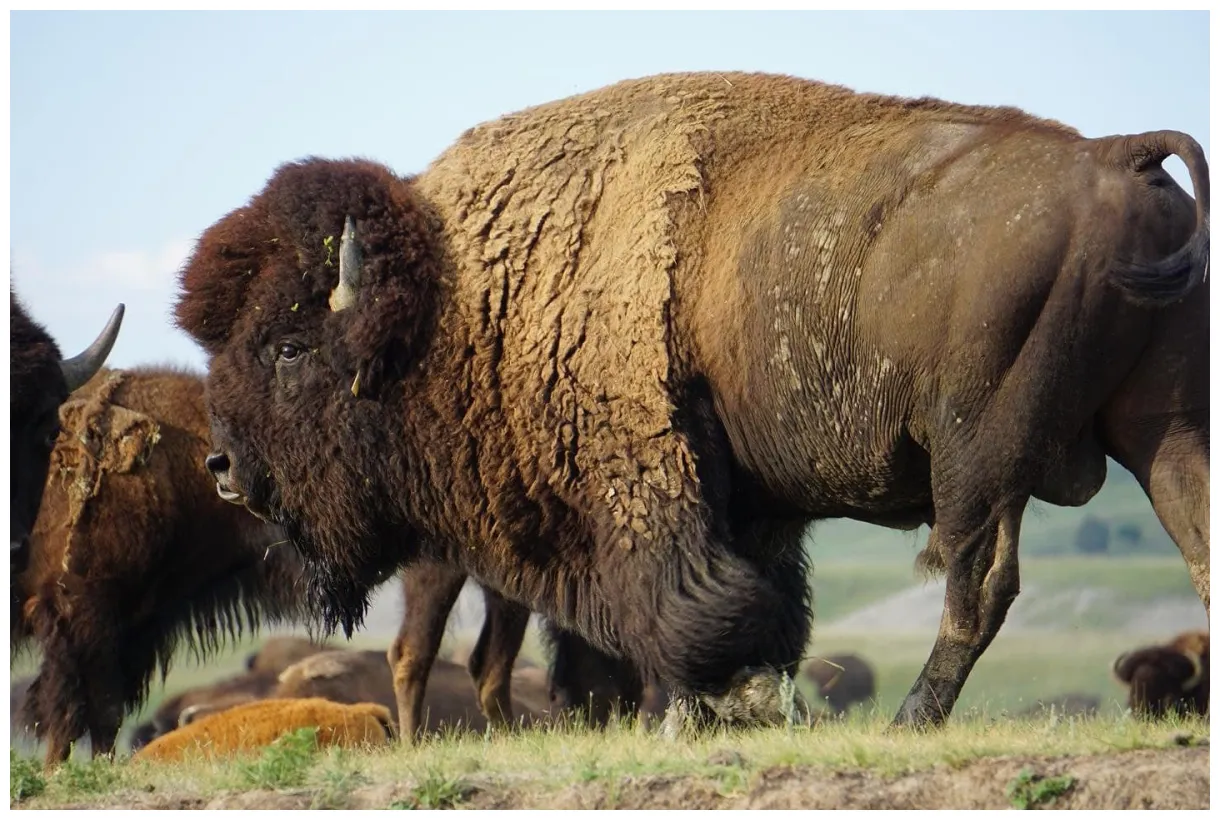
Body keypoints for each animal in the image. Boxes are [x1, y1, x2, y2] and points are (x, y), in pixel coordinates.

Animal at [175, 72, 1208, 731]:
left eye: (290, 347)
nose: (223, 465)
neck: (462, 295)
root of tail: (1115, 157)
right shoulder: (743, 505)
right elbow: (752, 607)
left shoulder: (646, 480)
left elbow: (680, 606)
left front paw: (687, 714)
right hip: (1164, 428)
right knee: (1194, 538)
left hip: (980, 456)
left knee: (977, 583)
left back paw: (915, 717)